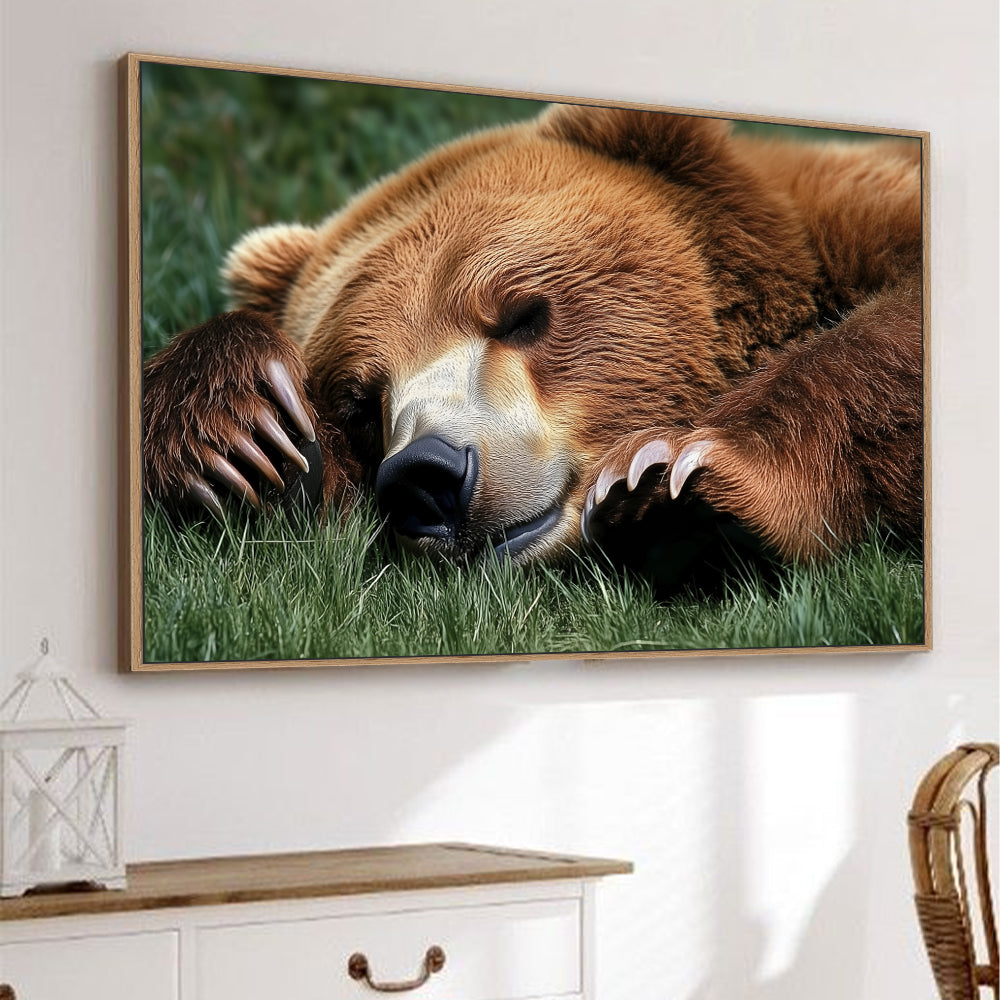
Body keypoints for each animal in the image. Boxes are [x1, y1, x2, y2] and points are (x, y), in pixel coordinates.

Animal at [142, 103, 924, 588]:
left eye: (522, 315)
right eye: (359, 400)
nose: (426, 473)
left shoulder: (857, 218)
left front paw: (675, 478)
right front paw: (247, 437)